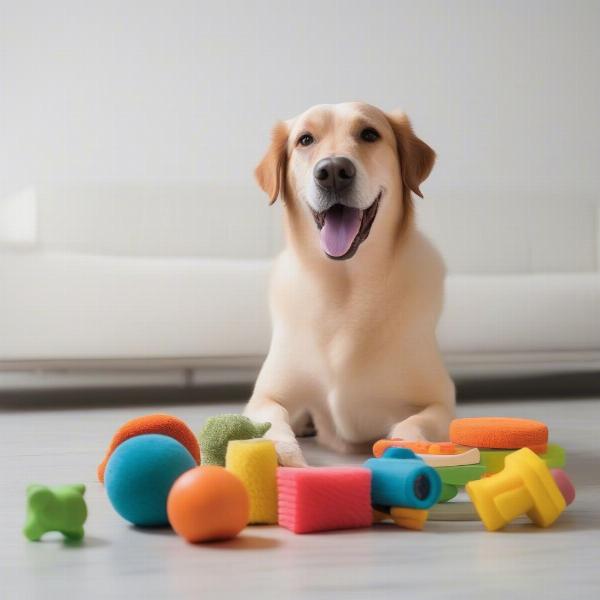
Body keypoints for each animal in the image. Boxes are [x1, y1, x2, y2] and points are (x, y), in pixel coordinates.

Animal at [241, 102, 452, 468]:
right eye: (305, 139)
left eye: (369, 134)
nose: (333, 171)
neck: (345, 287)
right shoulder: (265, 396)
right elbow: (271, 422)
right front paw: (280, 454)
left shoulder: (441, 399)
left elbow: (414, 422)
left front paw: (406, 447)